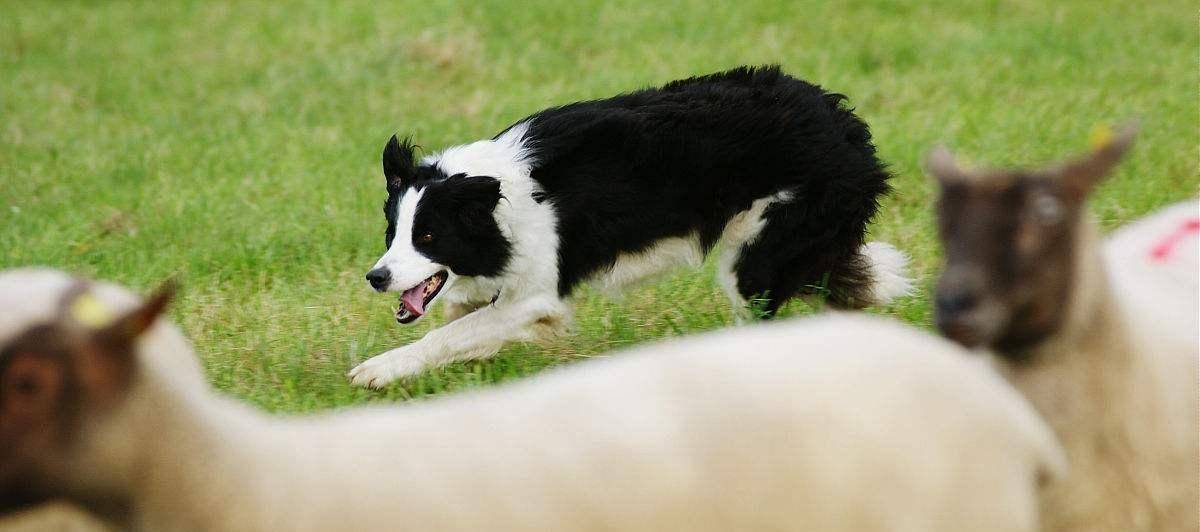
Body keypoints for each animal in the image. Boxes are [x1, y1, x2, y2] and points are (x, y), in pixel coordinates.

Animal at [348, 65, 907, 386]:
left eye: (427, 236)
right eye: (392, 235)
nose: (376, 277)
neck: (492, 199)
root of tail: (846, 123)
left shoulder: (538, 288)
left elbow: (451, 333)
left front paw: (377, 371)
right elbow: (461, 322)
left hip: (760, 251)